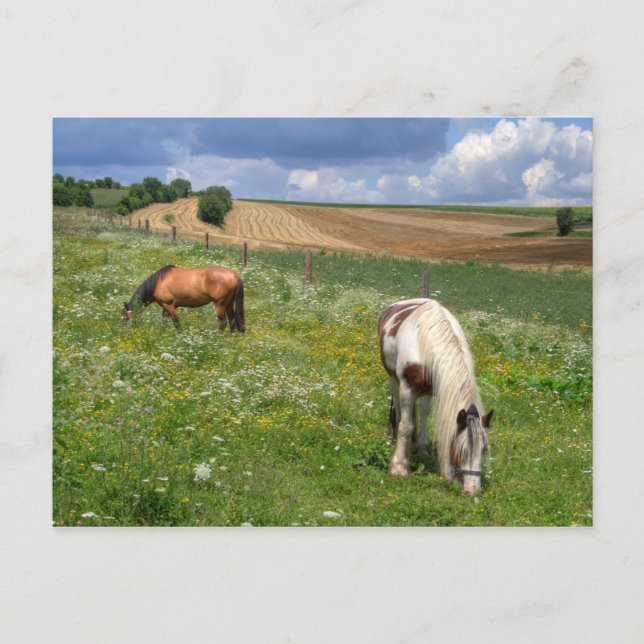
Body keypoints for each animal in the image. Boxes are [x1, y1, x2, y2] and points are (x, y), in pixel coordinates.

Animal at [378, 298, 492, 495]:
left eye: (483, 450)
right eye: (462, 451)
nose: (472, 490)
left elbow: (423, 416)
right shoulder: (407, 388)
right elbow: (405, 426)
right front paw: (399, 467)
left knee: (423, 412)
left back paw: (421, 447)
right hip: (394, 380)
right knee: (399, 409)